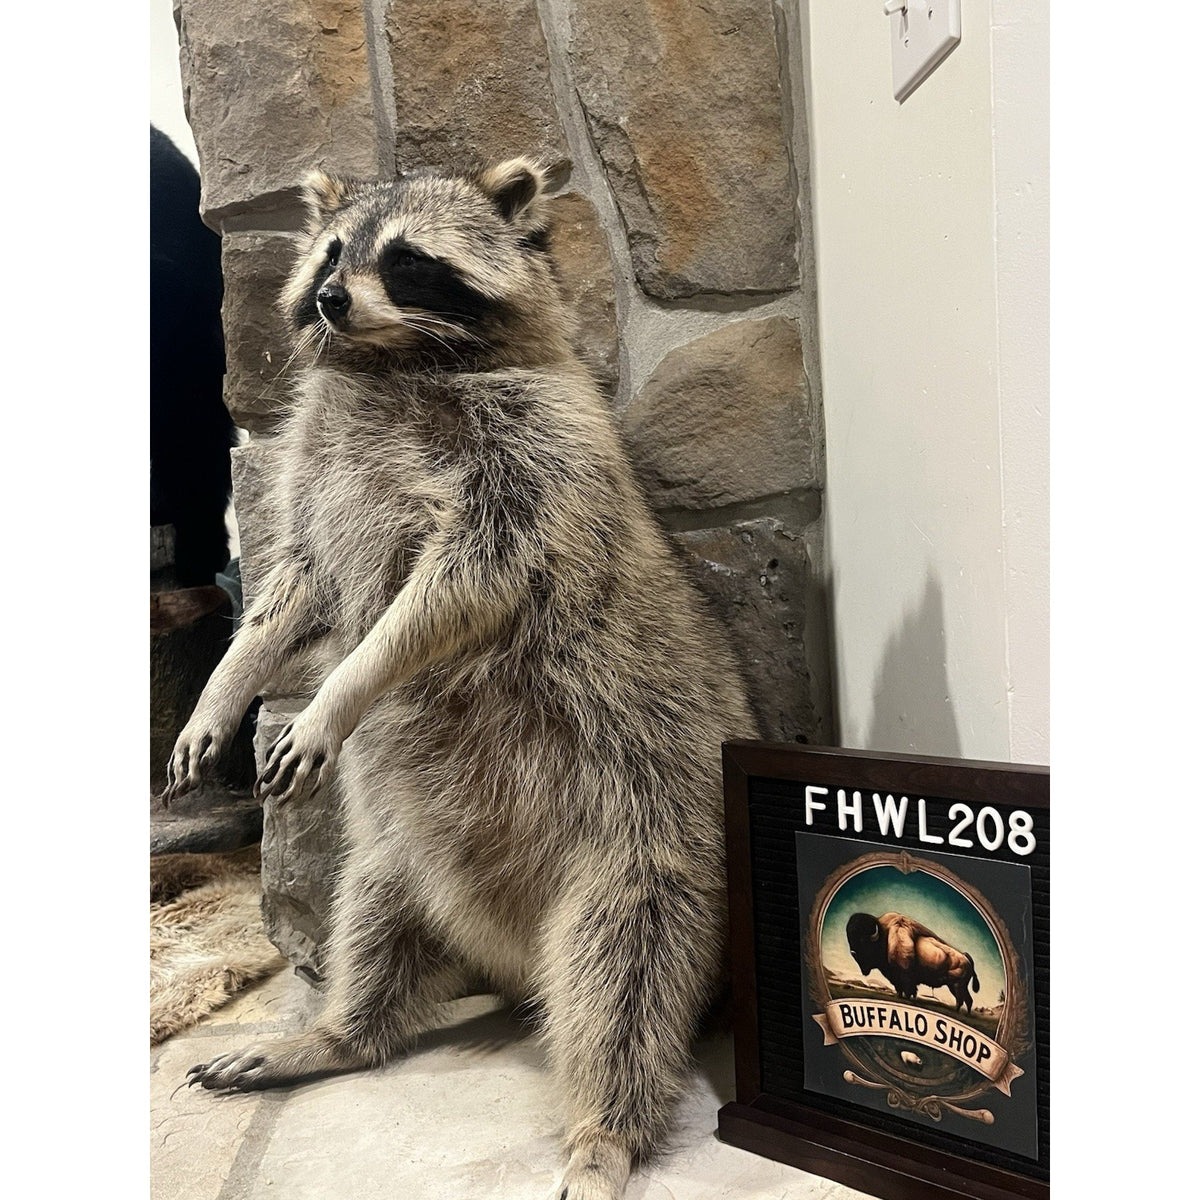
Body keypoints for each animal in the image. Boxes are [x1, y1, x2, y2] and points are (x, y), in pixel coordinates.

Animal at [166, 158, 759, 1200]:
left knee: (626, 981)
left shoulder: (536, 456)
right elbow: (291, 588)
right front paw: (227, 684)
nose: (331, 298)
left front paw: (345, 686)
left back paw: (604, 1131)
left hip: (649, 838)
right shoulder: (313, 472)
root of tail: (512, 952)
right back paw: (338, 1032)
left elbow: (456, 590)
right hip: (402, 855)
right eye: (331, 254)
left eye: (406, 261)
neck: (393, 361)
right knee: (368, 916)